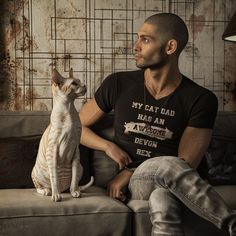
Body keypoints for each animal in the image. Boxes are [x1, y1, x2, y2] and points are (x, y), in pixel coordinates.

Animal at [31, 68, 94, 201]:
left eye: (80, 81)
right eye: (74, 83)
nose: (84, 85)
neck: (69, 110)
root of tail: (64, 189)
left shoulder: (76, 150)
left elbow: (74, 177)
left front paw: (75, 192)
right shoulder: (52, 151)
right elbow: (54, 177)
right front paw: (56, 195)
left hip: (81, 166)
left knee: (71, 183)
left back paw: (73, 190)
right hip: (35, 171)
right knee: (40, 186)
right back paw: (48, 191)